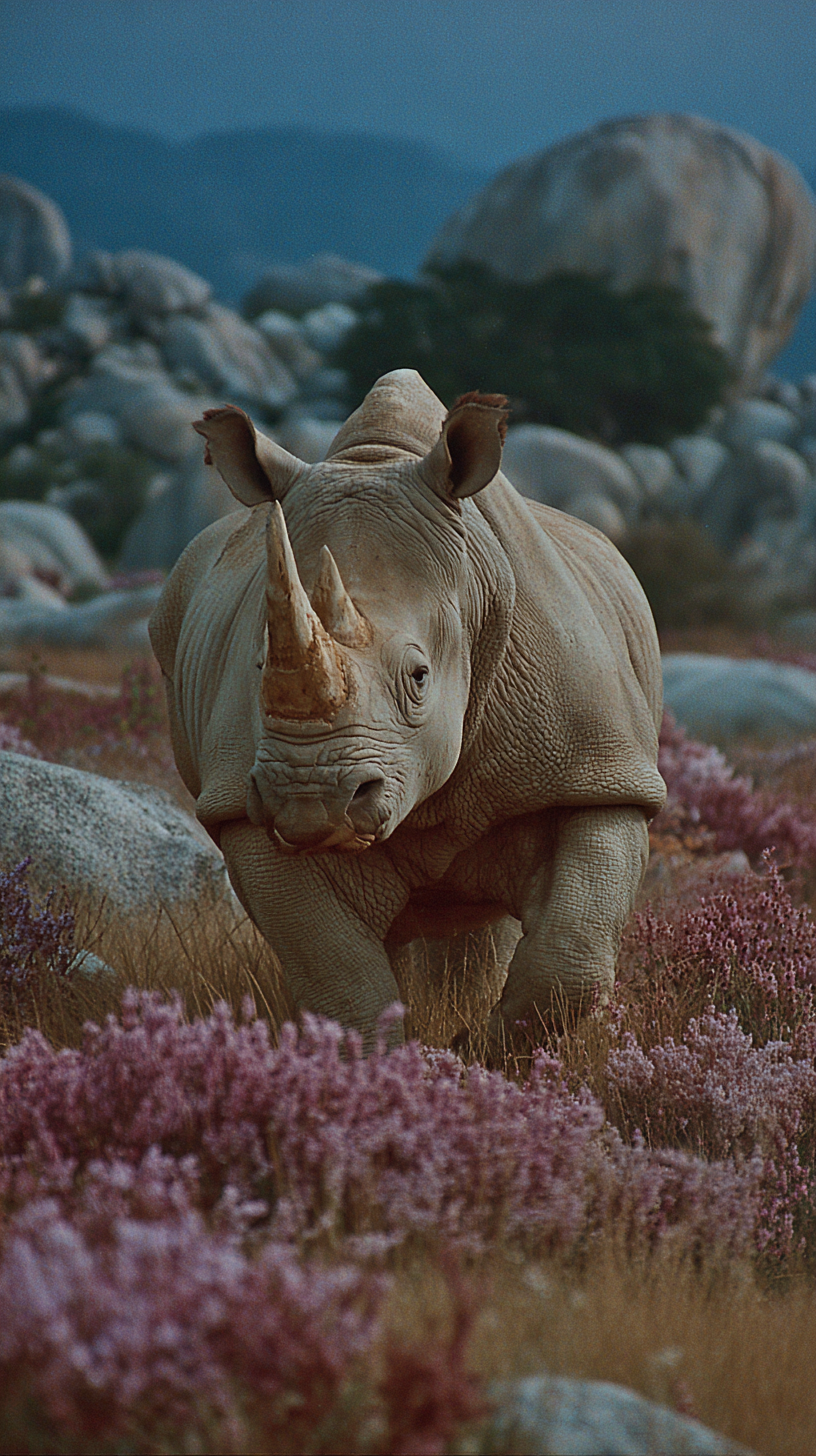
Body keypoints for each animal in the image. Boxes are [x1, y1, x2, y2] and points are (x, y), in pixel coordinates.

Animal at [150, 369, 665, 1055]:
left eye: (419, 678)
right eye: (257, 667)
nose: (310, 798)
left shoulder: (599, 770)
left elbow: (572, 953)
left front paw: (477, 1052)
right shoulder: (242, 799)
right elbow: (340, 978)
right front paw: (385, 1068)